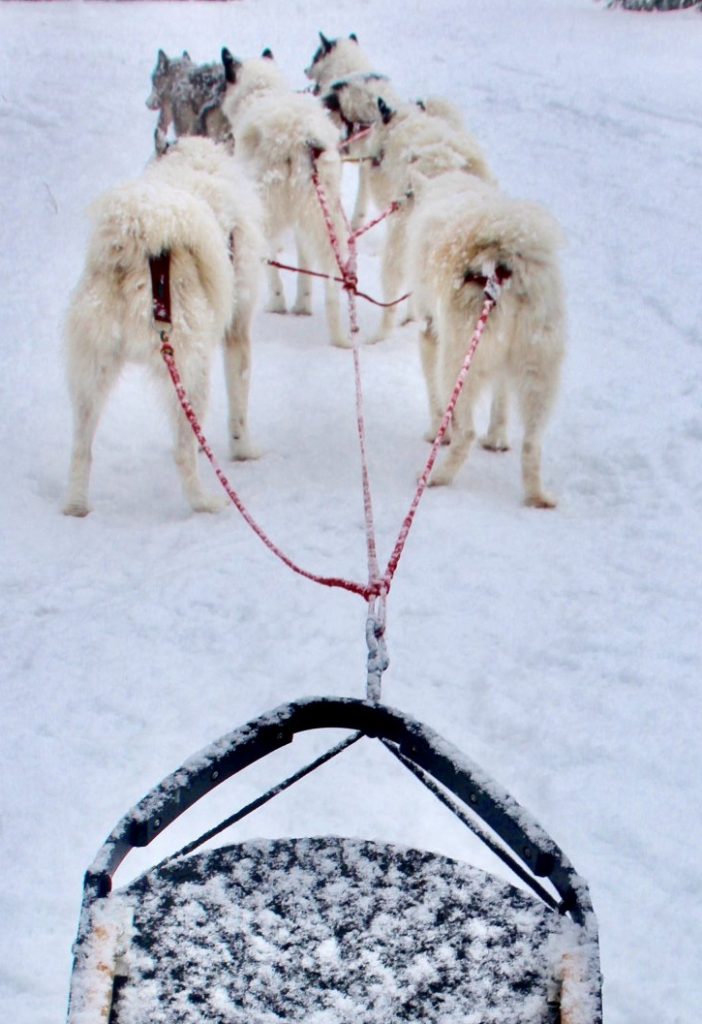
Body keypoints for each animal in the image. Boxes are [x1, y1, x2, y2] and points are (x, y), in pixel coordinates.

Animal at [63, 136, 266, 516]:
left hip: (93, 374)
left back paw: (76, 506)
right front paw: (244, 450)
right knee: (183, 453)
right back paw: (205, 502)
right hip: (191, 374)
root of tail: (137, 245)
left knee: (81, 449)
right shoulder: (237, 331)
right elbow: (240, 406)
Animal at [221, 48, 349, 348]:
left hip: (268, 208)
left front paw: (280, 304)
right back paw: (339, 335)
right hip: (324, 216)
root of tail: (298, 136)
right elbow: (304, 264)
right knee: (331, 277)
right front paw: (302, 305)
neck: (262, 92)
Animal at [407, 177, 564, 512]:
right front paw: (496, 439)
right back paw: (537, 497)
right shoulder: (501, 365)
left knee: (466, 433)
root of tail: (504, 267)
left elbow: (437, 402)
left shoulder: (430, 335)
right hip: (537, 370)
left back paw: (437, 476)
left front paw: (438, 433)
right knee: (532, 444)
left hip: (457, 364)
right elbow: (501, 401)